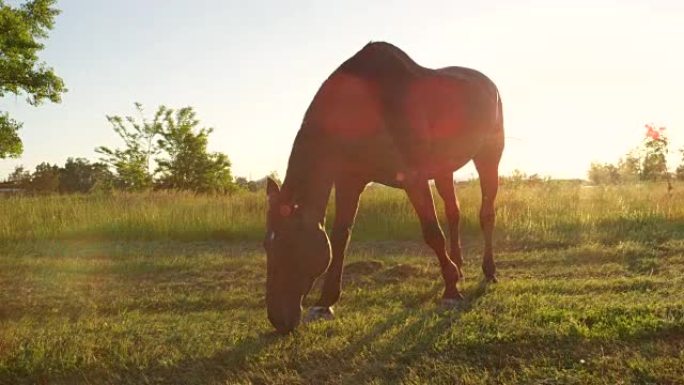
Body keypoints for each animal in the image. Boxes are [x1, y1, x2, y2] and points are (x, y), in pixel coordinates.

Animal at [264, 40, 504, 332]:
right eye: (266, 245)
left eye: (289, 245)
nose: (278, 319)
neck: (363, 107)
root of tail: (488, 84)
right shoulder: (349, 181)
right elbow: (340, 236)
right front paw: (325, 302)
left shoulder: (413, 178)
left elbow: (432, 232)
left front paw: (451, 291)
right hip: (444, 170)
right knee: (454, 212)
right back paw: (458, 265)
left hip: (489, 156)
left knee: (486, 214)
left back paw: (488, 271)